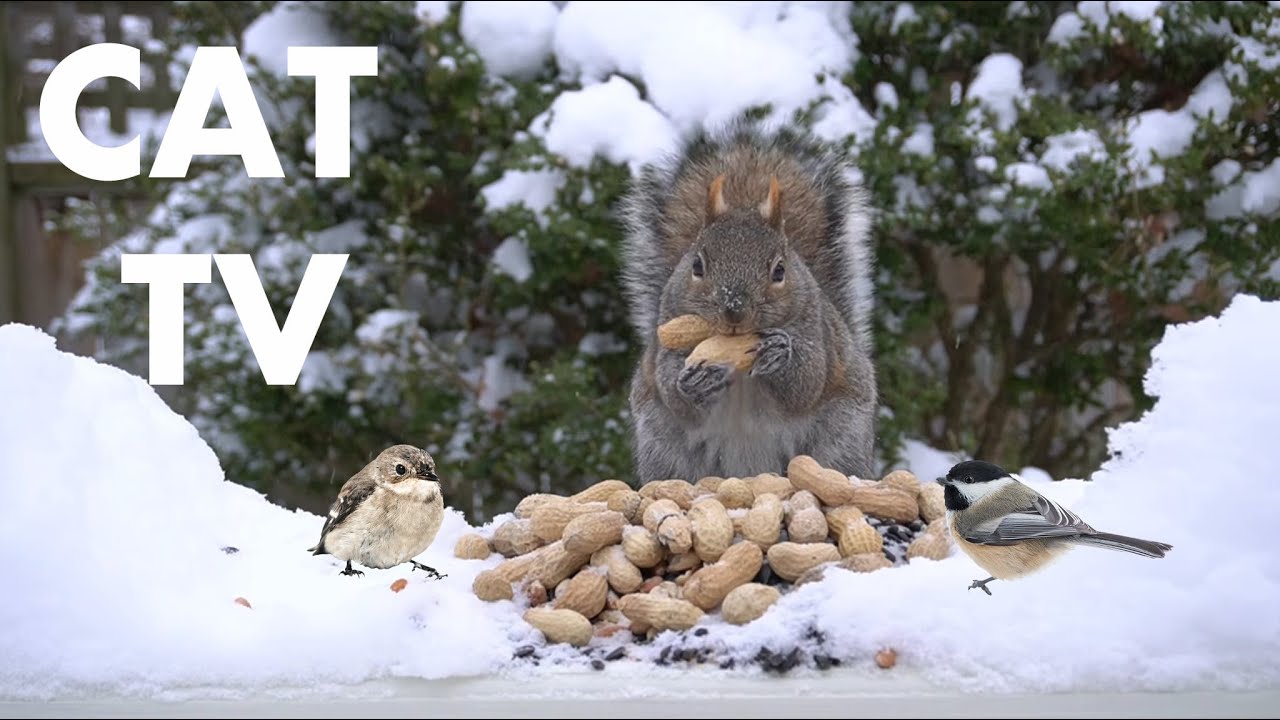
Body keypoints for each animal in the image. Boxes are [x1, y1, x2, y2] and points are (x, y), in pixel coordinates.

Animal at [619, 116, 878, 484]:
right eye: (697, 265)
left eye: (780, 270)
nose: (734, 311)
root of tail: (750, 473)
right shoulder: (667, 330)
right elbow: (671, 387)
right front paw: (692, 383)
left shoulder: (819, 334)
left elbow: (807, 382)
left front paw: (780, 353)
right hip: (662, 446)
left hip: (841, 437)